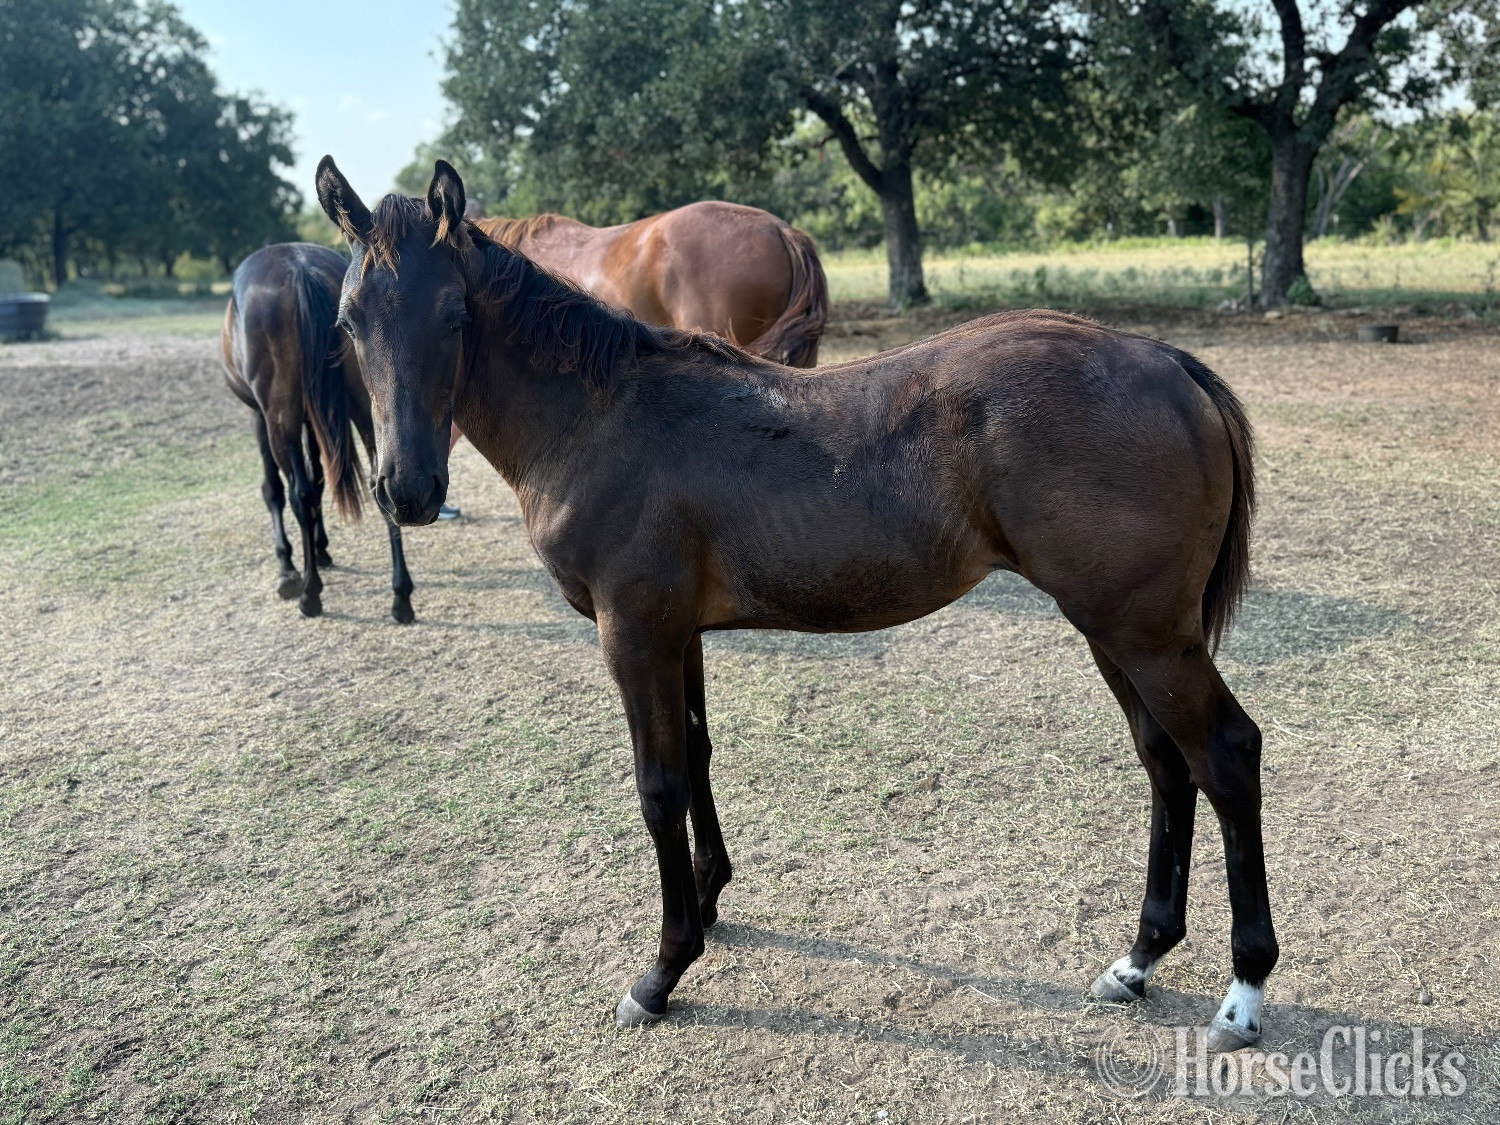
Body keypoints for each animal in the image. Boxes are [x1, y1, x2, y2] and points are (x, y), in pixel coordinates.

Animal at [221, 242, 416, 624]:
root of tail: (301, 269)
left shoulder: (260, 417)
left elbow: (276, 489)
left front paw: (287, 565)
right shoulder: (315, 418)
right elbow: (322, 478)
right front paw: (322, 548)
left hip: (279, 417)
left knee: (299, 493)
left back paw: (310, 592)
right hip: (365, 403)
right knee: (379, 484)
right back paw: (401, 595)